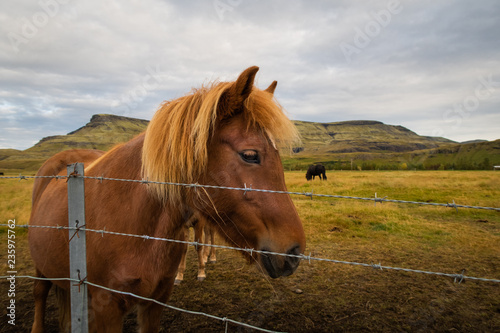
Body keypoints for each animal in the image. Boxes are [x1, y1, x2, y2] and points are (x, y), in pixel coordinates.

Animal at [29, 66, 306, 330]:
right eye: (250, 154)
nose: (295, 252)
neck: (135, 226)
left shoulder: (156, 300)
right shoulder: (105, 307)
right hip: (41, 267)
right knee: (39, 293)